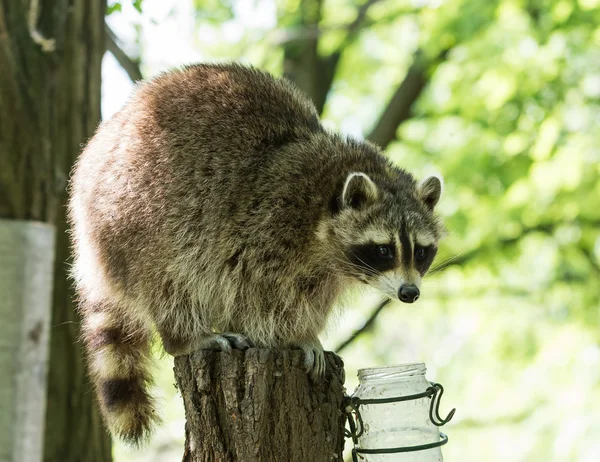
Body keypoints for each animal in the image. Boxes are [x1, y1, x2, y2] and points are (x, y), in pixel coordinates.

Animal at [69, 62, 446, 444]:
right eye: (383, 250)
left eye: (421, 252)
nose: (410, 293)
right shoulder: (266, 220)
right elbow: (261, 291)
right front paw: (293, 336)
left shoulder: (324, 267)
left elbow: (311, 295)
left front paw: (307, 330)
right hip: (137, 215)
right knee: (172, 279)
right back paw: (185, 336)